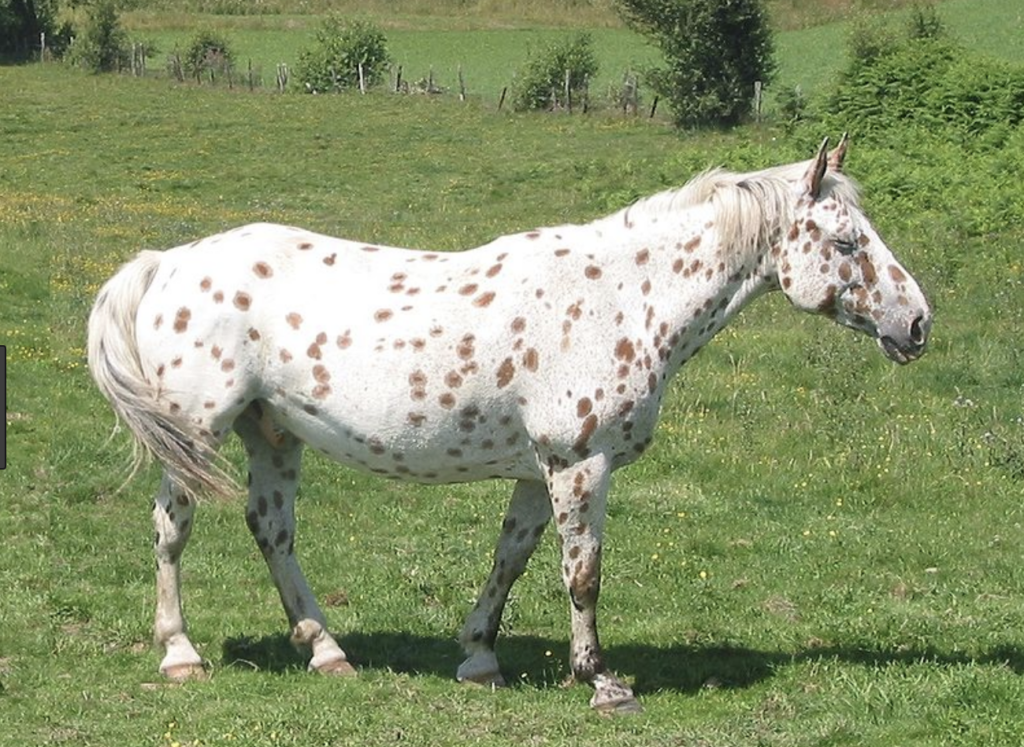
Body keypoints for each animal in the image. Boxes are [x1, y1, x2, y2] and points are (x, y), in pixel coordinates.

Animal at [88, 137, 929, 713]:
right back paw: (180, 652)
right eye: (847, 241)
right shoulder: (580, 464)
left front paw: (478, 656)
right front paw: (601, 681)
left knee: (273, 530)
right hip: (196, 433)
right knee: (172, 528)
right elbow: (582, 574)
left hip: (272, 433)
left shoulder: (539, 470)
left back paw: (327, 650)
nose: (917, 323)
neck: (624, 296)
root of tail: (166, 261)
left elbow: (512, 559)